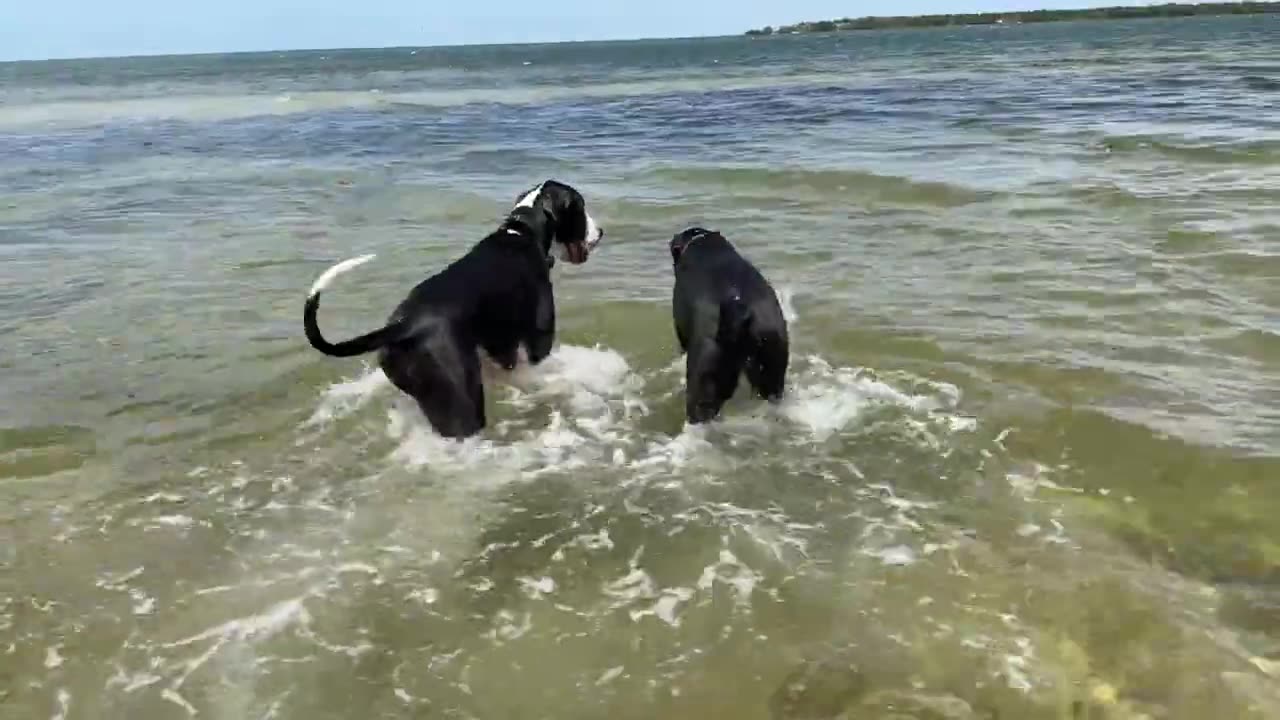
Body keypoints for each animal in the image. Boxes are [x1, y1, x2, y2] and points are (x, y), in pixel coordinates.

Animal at [303, 179, 604, 438]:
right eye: (580, 206)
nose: (600, 233)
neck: (523, 232)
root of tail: (405, 326)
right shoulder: (538, 342)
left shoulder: (502, 346)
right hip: (462, 402)